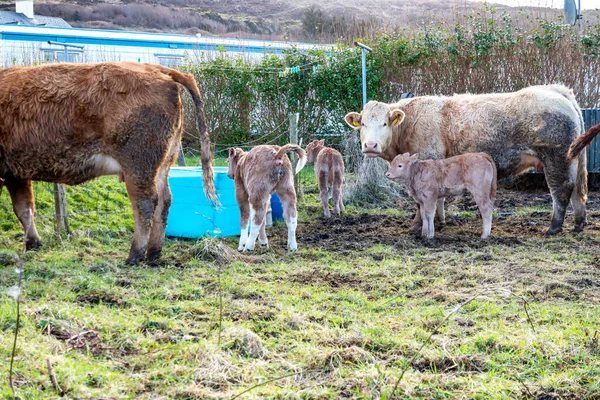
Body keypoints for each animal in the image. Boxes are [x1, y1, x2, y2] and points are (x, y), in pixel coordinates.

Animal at [0, 61, 216, 266]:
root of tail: (156, 69)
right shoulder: (16, 175)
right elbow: (24, 208)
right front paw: (33, 243)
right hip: (161, 166)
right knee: (164, 202)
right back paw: (153, 255)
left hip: (138, 167)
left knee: (145, 204)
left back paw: (134, 256)